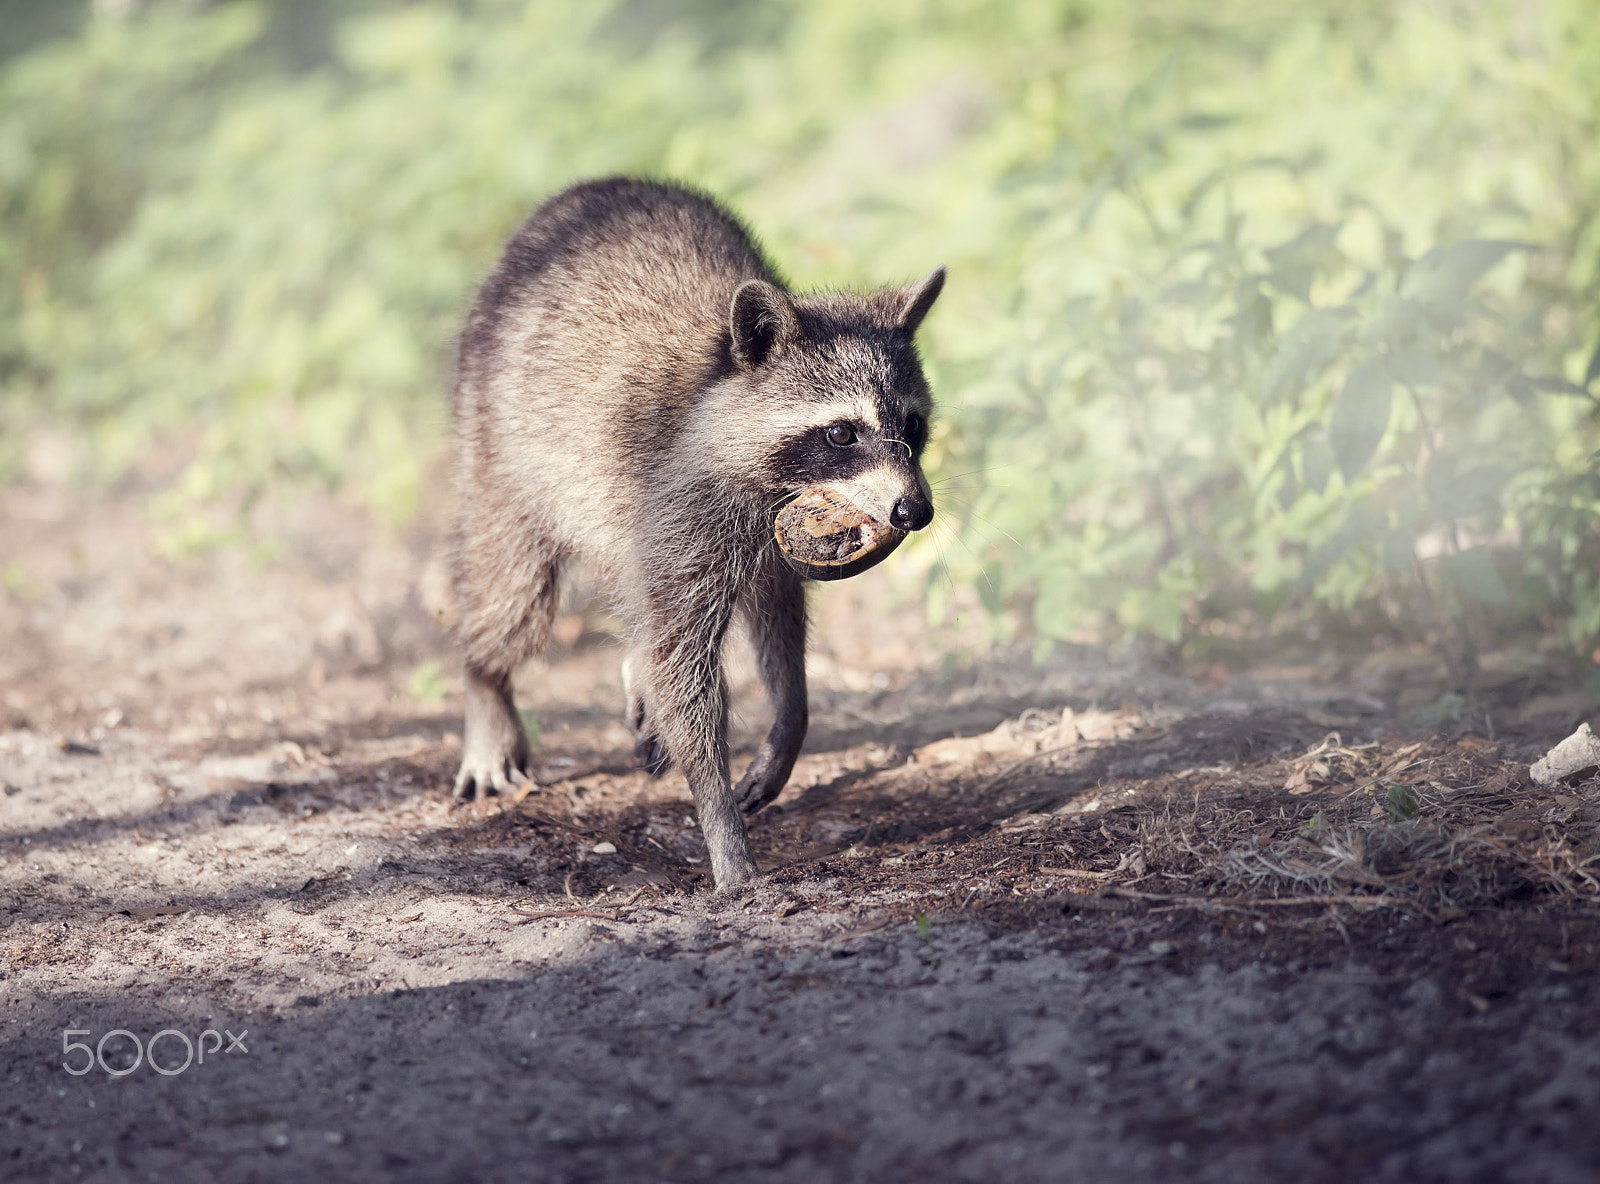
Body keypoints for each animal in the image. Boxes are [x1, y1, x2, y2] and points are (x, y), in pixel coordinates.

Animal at [444, 176, 940, 889]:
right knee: (513, 594)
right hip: (495, 444)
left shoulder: (772, 541)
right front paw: (721, 823)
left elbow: (777, 622)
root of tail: (588, 188)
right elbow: (687, 672)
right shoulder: (681, 510)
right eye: (842, 433)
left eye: (914, 425)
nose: (914, 511)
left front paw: (789, 723)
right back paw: (483, 679)